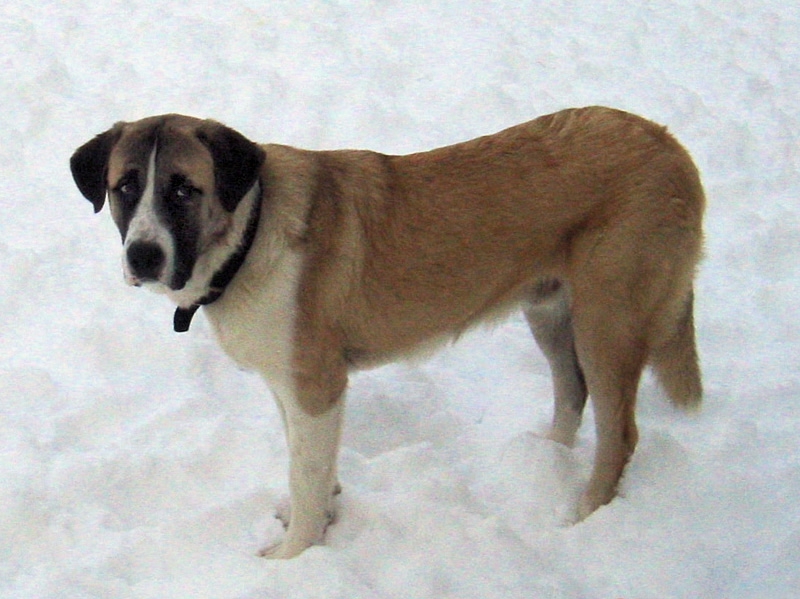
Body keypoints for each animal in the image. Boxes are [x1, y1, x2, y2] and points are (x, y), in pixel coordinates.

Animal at [72, 106, 704, 556]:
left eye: (183, 189)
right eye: (125, 187)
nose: (144, 256)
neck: (247, 238)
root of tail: (670, 146)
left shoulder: (315, 386)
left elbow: (305, 474)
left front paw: (293, 558)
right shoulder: (290, 386)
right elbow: (308, 466)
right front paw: (318, 519)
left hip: (608, 320)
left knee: (619, 433)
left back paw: (579, 513)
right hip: (549, 309)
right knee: (573, 389)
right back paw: (541, 459)